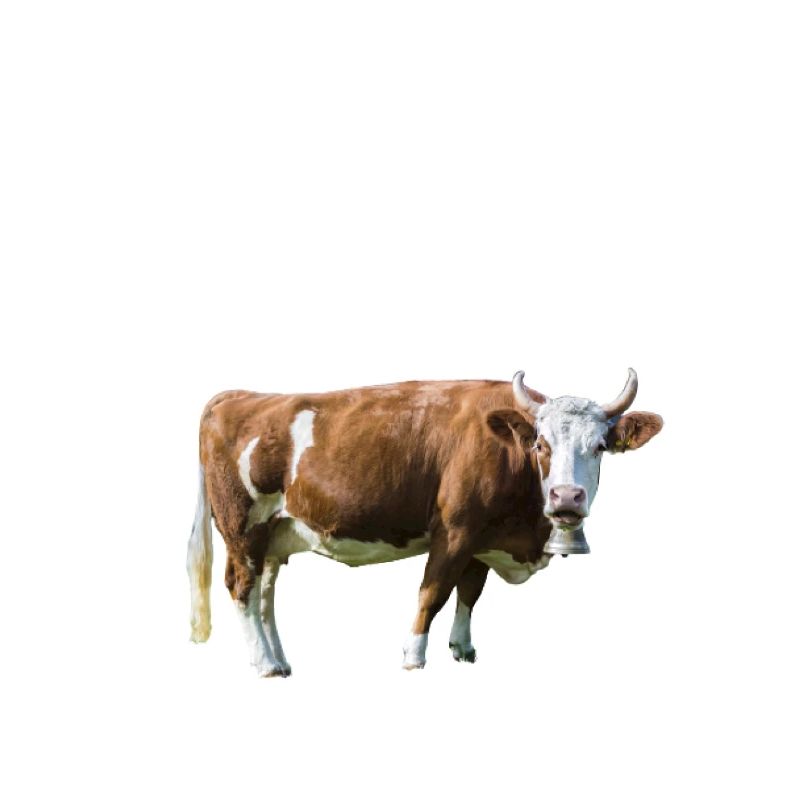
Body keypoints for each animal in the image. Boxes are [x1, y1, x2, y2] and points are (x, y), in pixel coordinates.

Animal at [187, 369, 662, 676]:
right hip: (242, 527)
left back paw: (280, 660)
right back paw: (264, 664)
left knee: (264, 595)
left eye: (600, 446)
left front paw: (463, 649)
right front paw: (413, 657)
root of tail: (239, 395)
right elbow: (432, 593)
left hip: (275, 534)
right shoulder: (454, 530)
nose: (566, 497)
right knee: (241, 588)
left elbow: (469, 592)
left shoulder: (482, 540)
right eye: (541, 445)